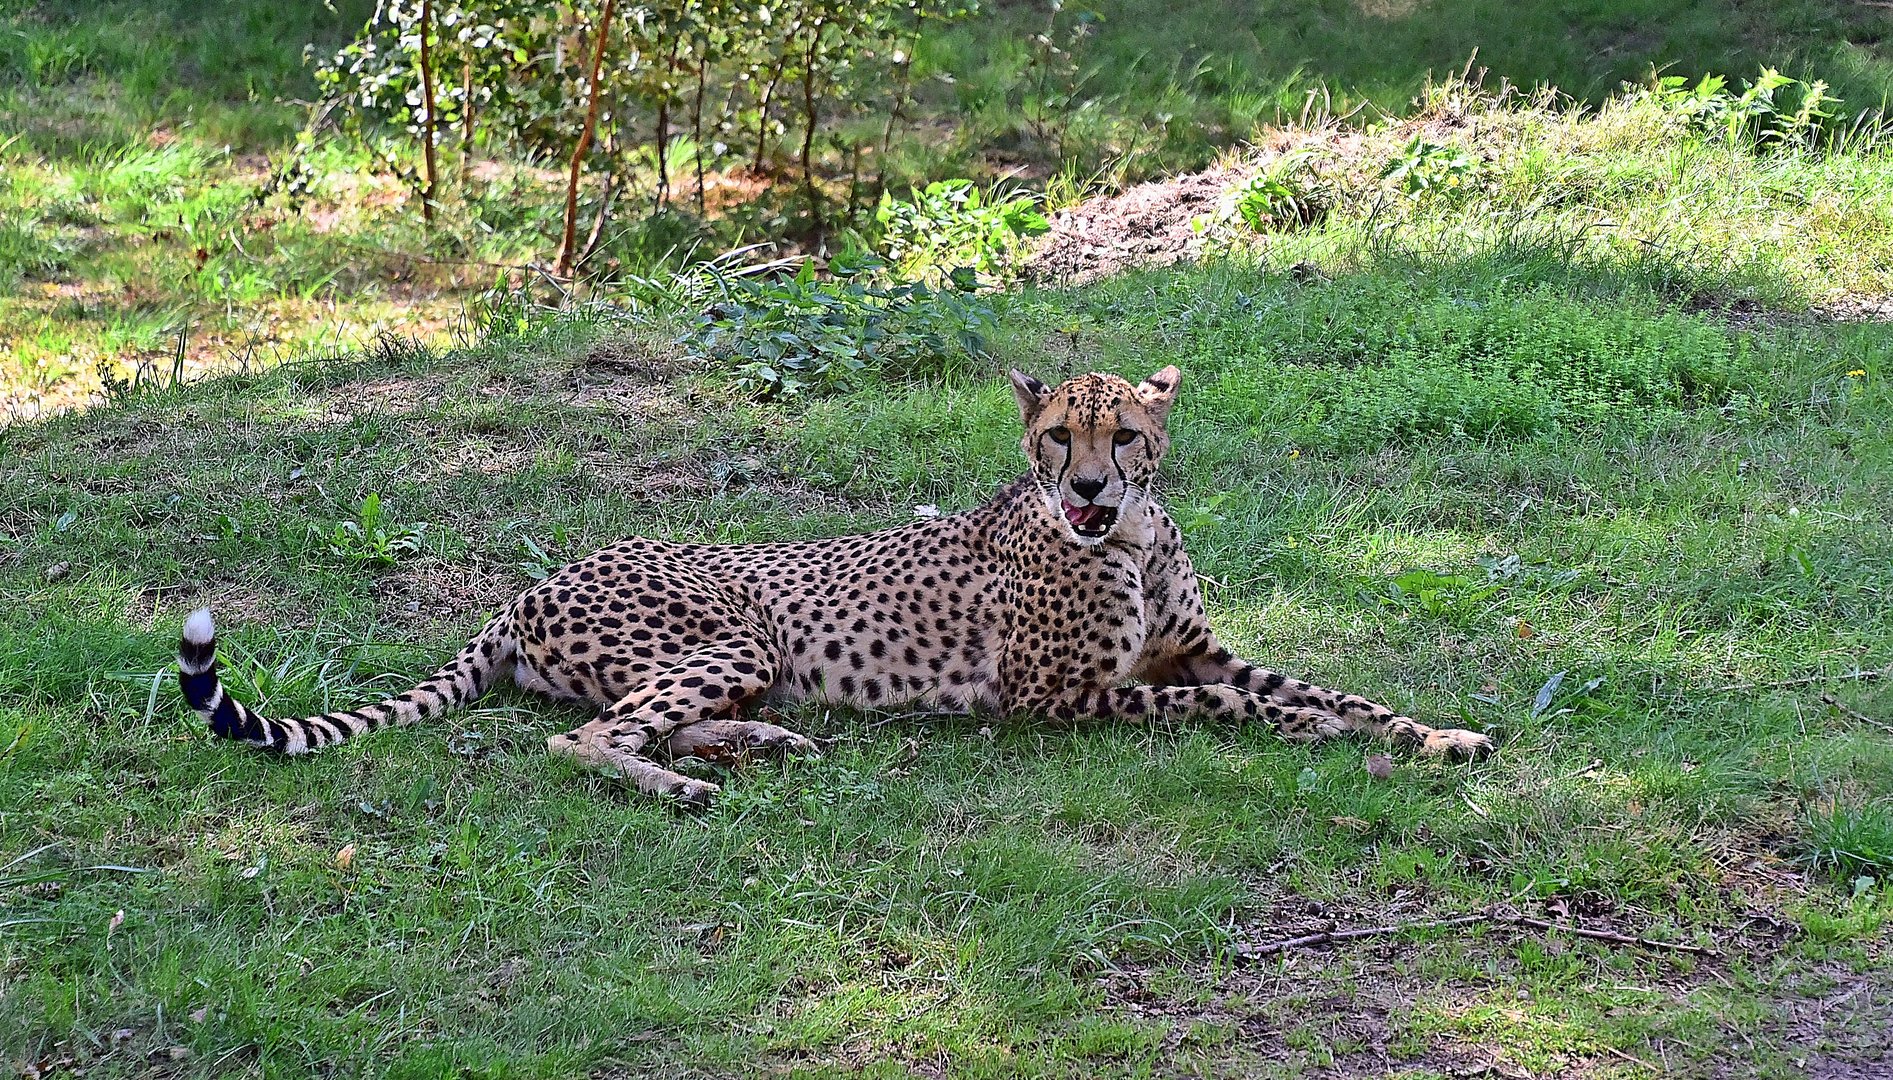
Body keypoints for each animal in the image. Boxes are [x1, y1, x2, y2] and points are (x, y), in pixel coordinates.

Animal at [177, 366, 1484, 805]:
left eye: (1123, 433)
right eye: (1057, 435)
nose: (1088, 488)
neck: (1129, 538)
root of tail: (534, 582)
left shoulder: (1189, 648)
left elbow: (1323, 688)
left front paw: (1439, 734)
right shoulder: (1063, 700)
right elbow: (1247, 703)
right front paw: (1340, 736)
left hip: (730, 661)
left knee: (645, 722)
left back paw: (763, 746)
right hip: (734, 638)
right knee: (585, 738)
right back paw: (686, 787)